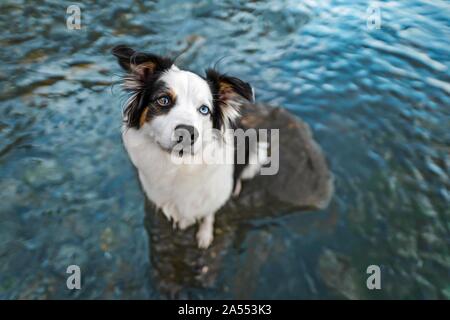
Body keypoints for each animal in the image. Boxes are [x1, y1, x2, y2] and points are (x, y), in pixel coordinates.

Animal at [112, 45, 268, 248]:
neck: (179, 165)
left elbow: (208, 214)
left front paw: (204, 235)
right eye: (163, 100)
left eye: (204, 110)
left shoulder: (213, 195)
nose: (186, 134)